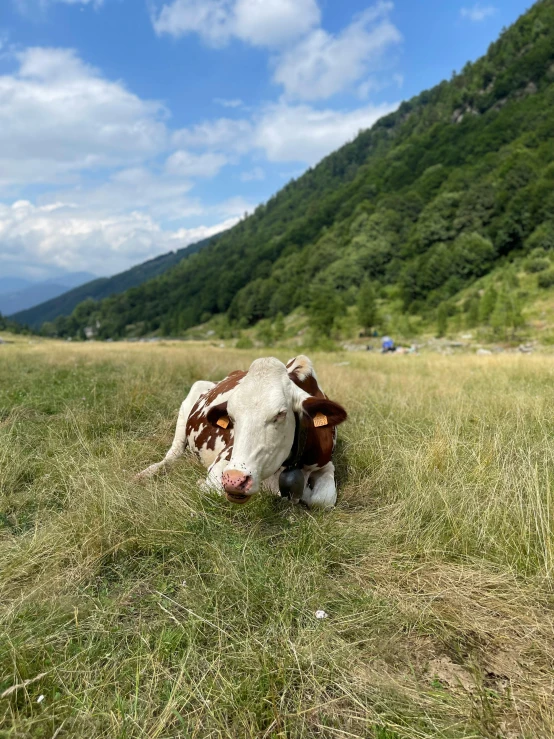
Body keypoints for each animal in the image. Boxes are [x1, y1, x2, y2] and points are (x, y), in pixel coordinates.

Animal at [137, 356, 344, 508]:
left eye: (281, 414)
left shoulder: (326, 463)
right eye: (231, 415)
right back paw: (148, 472)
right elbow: (211, 488)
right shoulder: (222, 464)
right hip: (188, 404)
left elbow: (322, 500)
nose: (235, 480)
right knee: (172, 454)